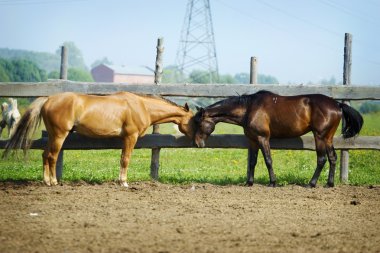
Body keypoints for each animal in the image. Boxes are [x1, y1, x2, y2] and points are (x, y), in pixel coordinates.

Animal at [1, 92, 194, 187]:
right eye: (193, 120)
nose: (196, 141)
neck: (142, 106)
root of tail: (48, 99)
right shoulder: (130, 137)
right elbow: (125, 160)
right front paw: (123, 182)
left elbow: (122, 159)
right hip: (59, 135)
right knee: (52, 157)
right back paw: (53, 182)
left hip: (53, 136)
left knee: (44, 155)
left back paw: (46, 180)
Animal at [194, 90, 364, 187]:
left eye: (198, 123)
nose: (197, 143)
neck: (249, 108)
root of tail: (337, 104)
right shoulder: (253, 140)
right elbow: (252, 161)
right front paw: (249, 182)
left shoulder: (263, 138)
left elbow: (268, 160)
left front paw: (272, 182)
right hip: (328, 138)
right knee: (332, 158)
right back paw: (329, 184)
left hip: (320, 136)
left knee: (321, 159)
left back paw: (312, 184)